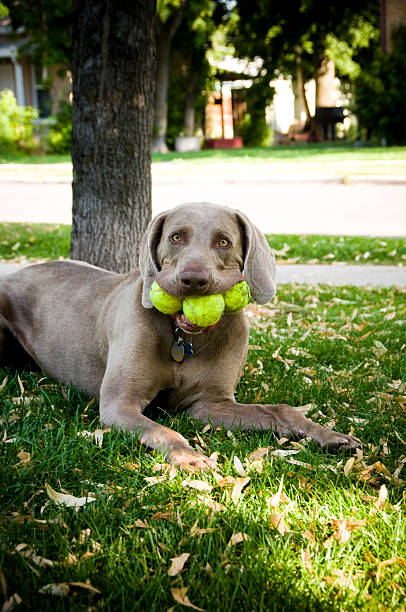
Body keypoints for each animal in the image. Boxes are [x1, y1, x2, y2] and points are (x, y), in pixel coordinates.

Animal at [0, 203, 362, 470]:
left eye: (223, 241)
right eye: (176, 237)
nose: (193, 279)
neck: (184, 339)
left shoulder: (209, 404)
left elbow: (281, 410)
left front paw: (330, 435)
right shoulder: (119, 404)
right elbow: (165, 431)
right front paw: (192, 458)